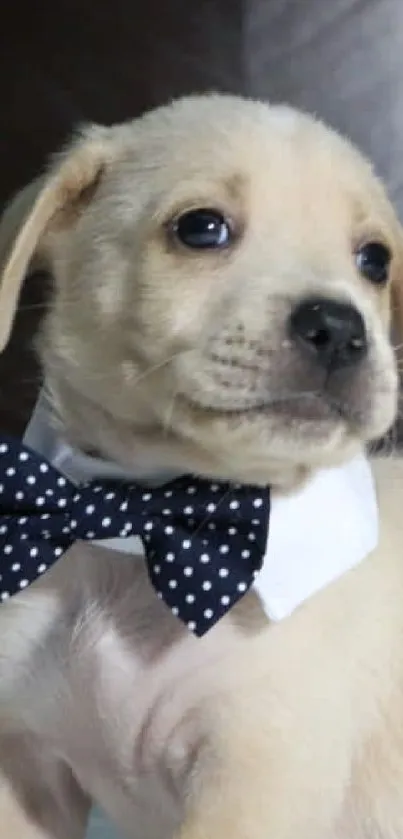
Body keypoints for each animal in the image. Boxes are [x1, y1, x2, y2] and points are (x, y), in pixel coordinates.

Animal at [0, 93, 403, 839]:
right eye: (201, 228)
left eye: (374, 259)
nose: (340, 327)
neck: (146, 523)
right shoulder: (27, 767)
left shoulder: (258, 775)